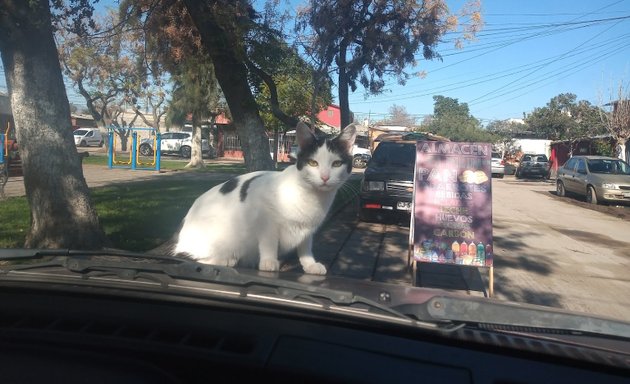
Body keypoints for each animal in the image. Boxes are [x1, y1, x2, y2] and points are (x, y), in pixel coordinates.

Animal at [173, 121, 358, 274]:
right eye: (313, 163)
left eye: (336, 164)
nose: (325, 177)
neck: (311, 196)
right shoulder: (265, 217)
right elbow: (269, 241)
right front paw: (269, 261)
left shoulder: (307, 229)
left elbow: (305, 246)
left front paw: (309, 264)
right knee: (189, 258)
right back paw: (226, 259)